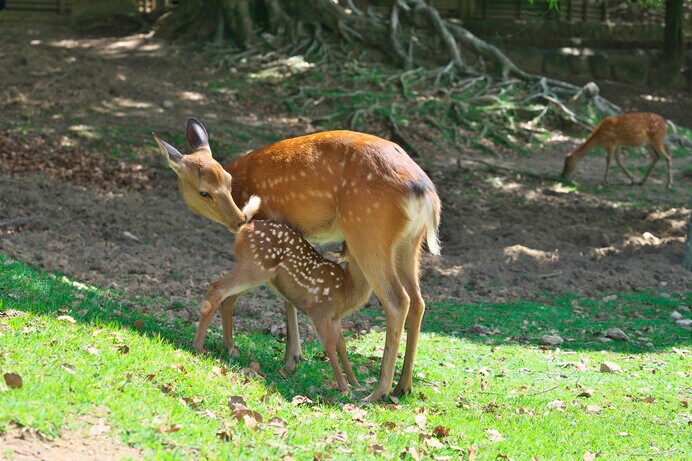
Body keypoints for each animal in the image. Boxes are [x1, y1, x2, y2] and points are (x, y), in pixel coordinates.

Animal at [195, 194, 374, 392]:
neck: (345, 290)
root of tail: (245, 226)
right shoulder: (319, 311)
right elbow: (329, 345)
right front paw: (344, 388)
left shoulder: (335, 318)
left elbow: (342, 345)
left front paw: (356, 383)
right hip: (255, 267)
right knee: (216, 289)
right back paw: (199, 347)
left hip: (257, 272)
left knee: (228, 300)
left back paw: (230, 348)